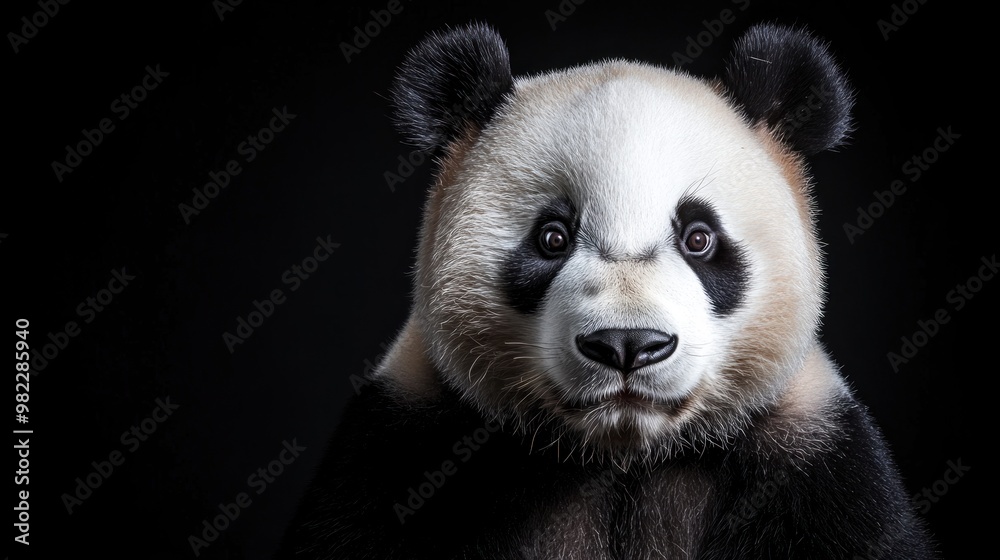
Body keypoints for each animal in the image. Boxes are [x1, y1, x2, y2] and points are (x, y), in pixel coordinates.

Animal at [278, 22, 937, 559]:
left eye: (699, 238)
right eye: (552, 237)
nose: (627, 345)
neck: (622, 454)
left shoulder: (815, 459)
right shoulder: (399, 448)